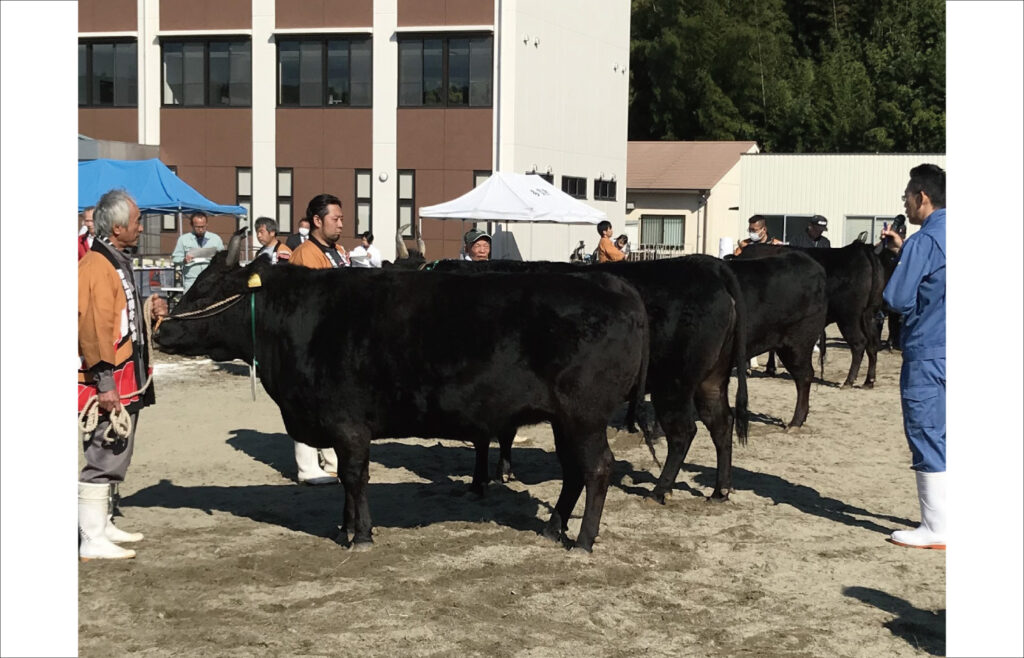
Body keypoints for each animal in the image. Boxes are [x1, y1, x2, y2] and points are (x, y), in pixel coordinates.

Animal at [153, 231, 647, 552]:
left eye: (208, 290)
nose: (161, 330)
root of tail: (613, 284)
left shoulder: (348, 424)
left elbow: (355, 477)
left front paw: (361, 535)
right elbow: (344, 481)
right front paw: (344, 528)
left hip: (584, 415)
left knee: (597, 468)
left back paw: (582, 540)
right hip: (566, 419)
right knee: (573, 471)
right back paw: (553, 528)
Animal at [428, 255, 749, 505]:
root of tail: (706, 265)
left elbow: (485, 438)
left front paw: (478, 484)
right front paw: (501, 473)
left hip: (673, 384)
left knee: (683, 432)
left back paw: (660, 491)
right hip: (711, 379)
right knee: (721, 423)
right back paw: (720, 491)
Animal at [733, 244, 884, 388]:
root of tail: (858, 249)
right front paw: (769, 368)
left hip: (848, 317)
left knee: (859, 343)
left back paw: (848, 381)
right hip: (868, 315)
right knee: (872, 344)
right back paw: (868, 381)